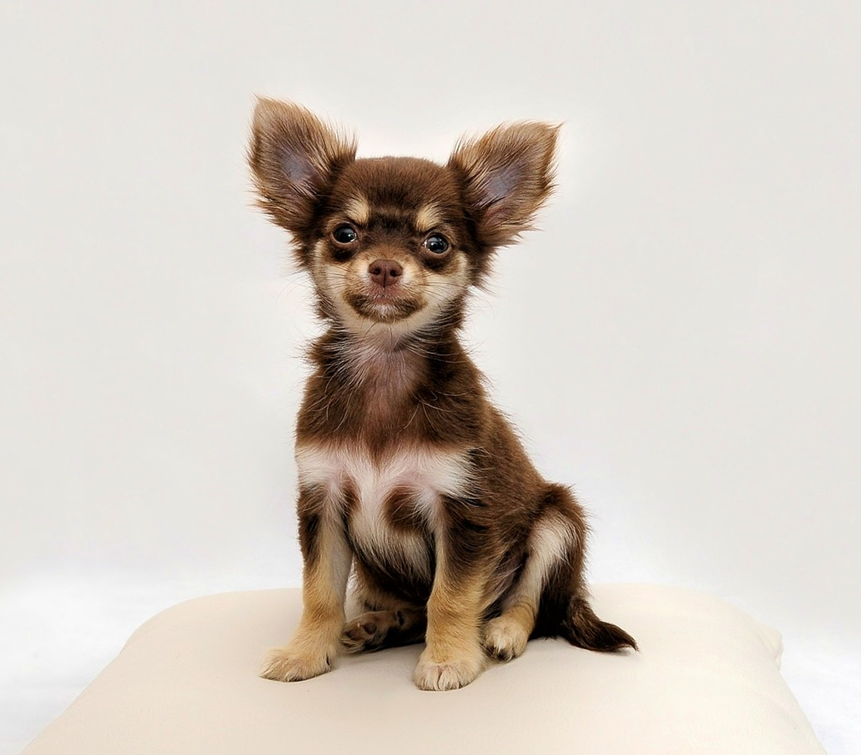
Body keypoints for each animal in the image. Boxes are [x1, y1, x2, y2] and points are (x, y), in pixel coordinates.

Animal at [249, 98, 636, 691]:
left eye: (437, 244)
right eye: (345, 233)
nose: (386, 266)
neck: (386, 364)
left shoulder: (463, 511)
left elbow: (451, 596)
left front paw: (450, 658)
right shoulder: (323, 502)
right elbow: (319, 592)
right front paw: (305, 653)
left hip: (558, 521)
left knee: (530, 601)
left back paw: (501, 632)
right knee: (402, 603)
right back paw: (379, 624)